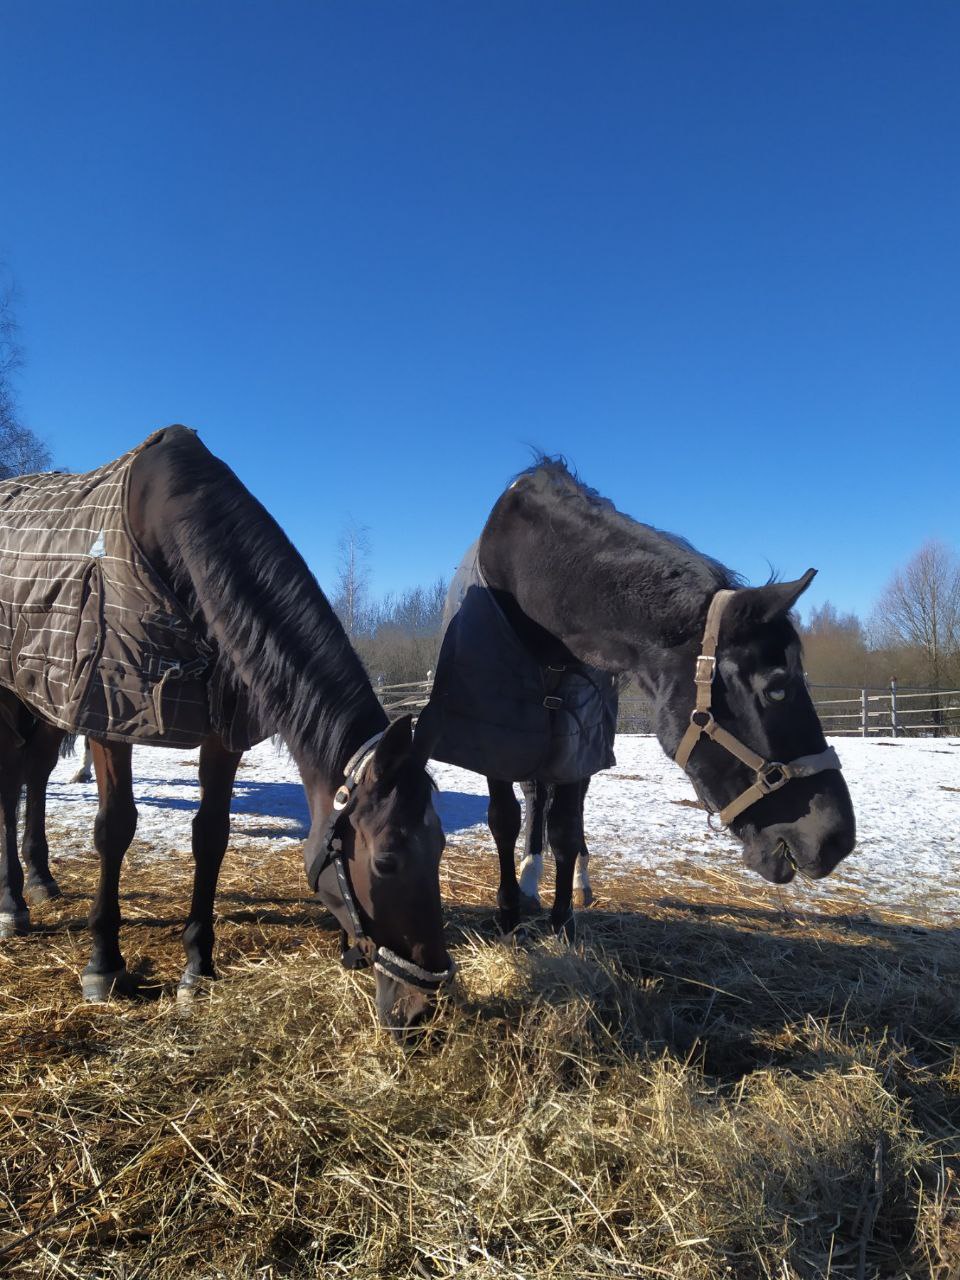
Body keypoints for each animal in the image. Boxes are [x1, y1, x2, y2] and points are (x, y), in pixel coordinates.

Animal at [0, 427, 453, 1029]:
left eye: (441, 846)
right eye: (386, 860)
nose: (422, 1006)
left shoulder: (222, 733)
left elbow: (210, 836)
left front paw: (198, 966)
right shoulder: (108, 712)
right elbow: (115, 829)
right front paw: (104, 964)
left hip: (47, 696)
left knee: (35, 771)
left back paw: (41, 880)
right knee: (10, 784)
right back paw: (12, 902)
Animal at [419, 460, 855, 931]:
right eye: (776, 688)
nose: (836, 839)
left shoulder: (579, 740)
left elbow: (567, 829)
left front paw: (563, 922)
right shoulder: (492, 738)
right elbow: (504, 821)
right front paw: (508, 914)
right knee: (535, 799)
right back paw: (530, 879)